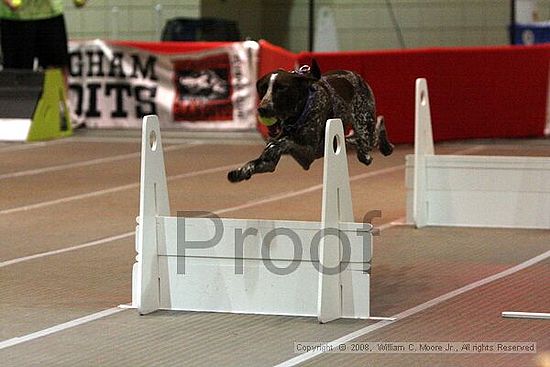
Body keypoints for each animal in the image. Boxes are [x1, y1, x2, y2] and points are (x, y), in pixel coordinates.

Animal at [229, 60, 396, 184]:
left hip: (365, 130)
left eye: (281, 88)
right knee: (354, 140)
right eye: (263, 88)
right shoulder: (269, 164)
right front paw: (240, 172)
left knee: (376, 127)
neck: (295, 118)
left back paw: (385, 145)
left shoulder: (309, 153)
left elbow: (285, 142)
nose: (262, 109)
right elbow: (255, 162)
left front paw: (277, 144)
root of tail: (356, 75)